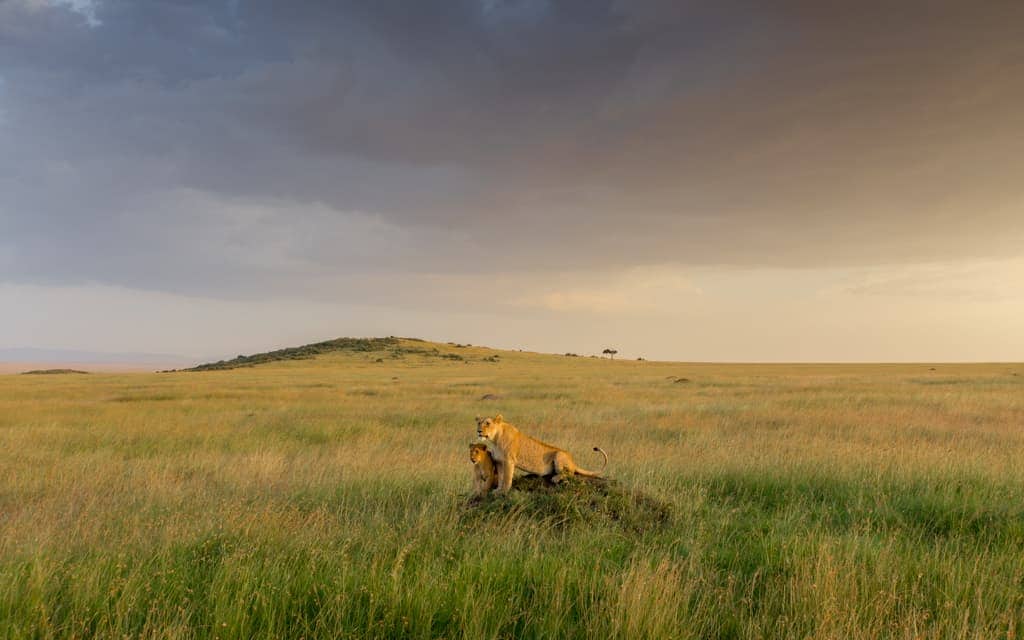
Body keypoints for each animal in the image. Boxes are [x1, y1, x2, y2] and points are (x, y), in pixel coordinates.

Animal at [475, 414, 608, 493]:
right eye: (479, 423)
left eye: (487, 423)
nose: (479, 431)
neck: (494, 440)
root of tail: (573, 462)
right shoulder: (499, 462)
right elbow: (501, 477)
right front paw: (498, 490)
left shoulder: (509, 461)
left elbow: (507, 478)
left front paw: (504, 491)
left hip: (559, 455)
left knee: (570, 473)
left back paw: (556, 478)